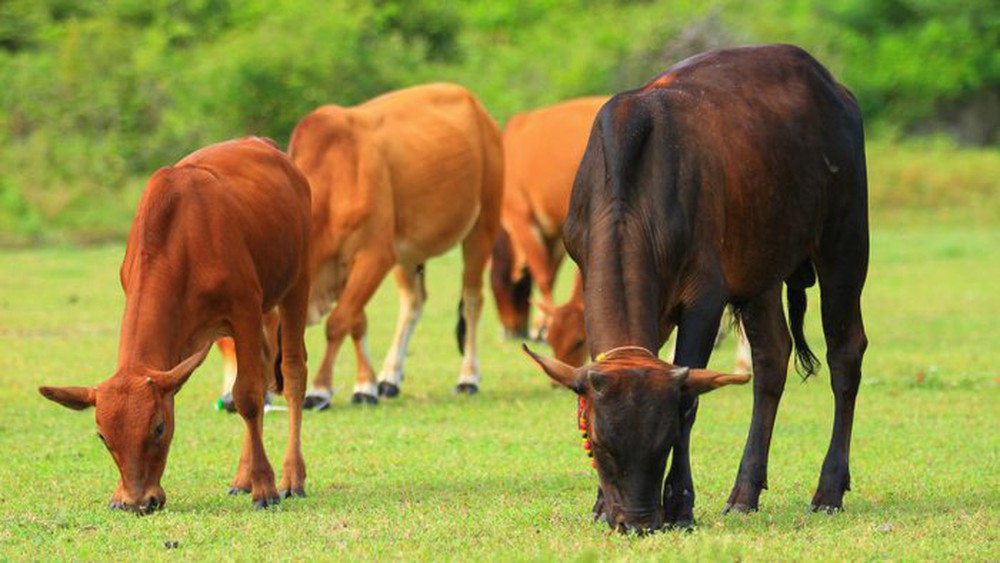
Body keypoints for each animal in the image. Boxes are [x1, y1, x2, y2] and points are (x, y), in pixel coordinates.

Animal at [38, 138, 312, 516]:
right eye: (102, 436)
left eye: (158, 427)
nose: (139, 501)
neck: (179, 241)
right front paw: (118, 494)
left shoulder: (244, 310)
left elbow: (247, 396)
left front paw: (265, 487)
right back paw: (242, 477)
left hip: (297, 283)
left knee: (292, 372)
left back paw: (291, 477)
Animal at [288, 82, 504, 410]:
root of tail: (479, 109)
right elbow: (357, 321)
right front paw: (367, 385)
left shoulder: (375, 256)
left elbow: (338, 322)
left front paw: (320, 390)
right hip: (407, 251)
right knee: (413, 302)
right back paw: (390, 376)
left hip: (481, 230)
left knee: (471, 301)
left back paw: (468, 378)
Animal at [488, 96, 604, 340]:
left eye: (491, 284)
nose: (509, 330)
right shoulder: (556, 231)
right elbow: (550, 275)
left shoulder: (522, 219)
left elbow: (541, 274)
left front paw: (541, 327)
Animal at [524, 45, 868, 532]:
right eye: (599, 441)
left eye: (664, 442)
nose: (637, 521)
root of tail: (832, 87)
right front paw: (599, 503)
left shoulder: (704, 298)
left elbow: (689, 400)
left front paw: (680, 504)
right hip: (759, 270)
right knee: (771, 359)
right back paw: (744, 493)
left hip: (845, 242)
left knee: (845, 355)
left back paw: (828, 489)